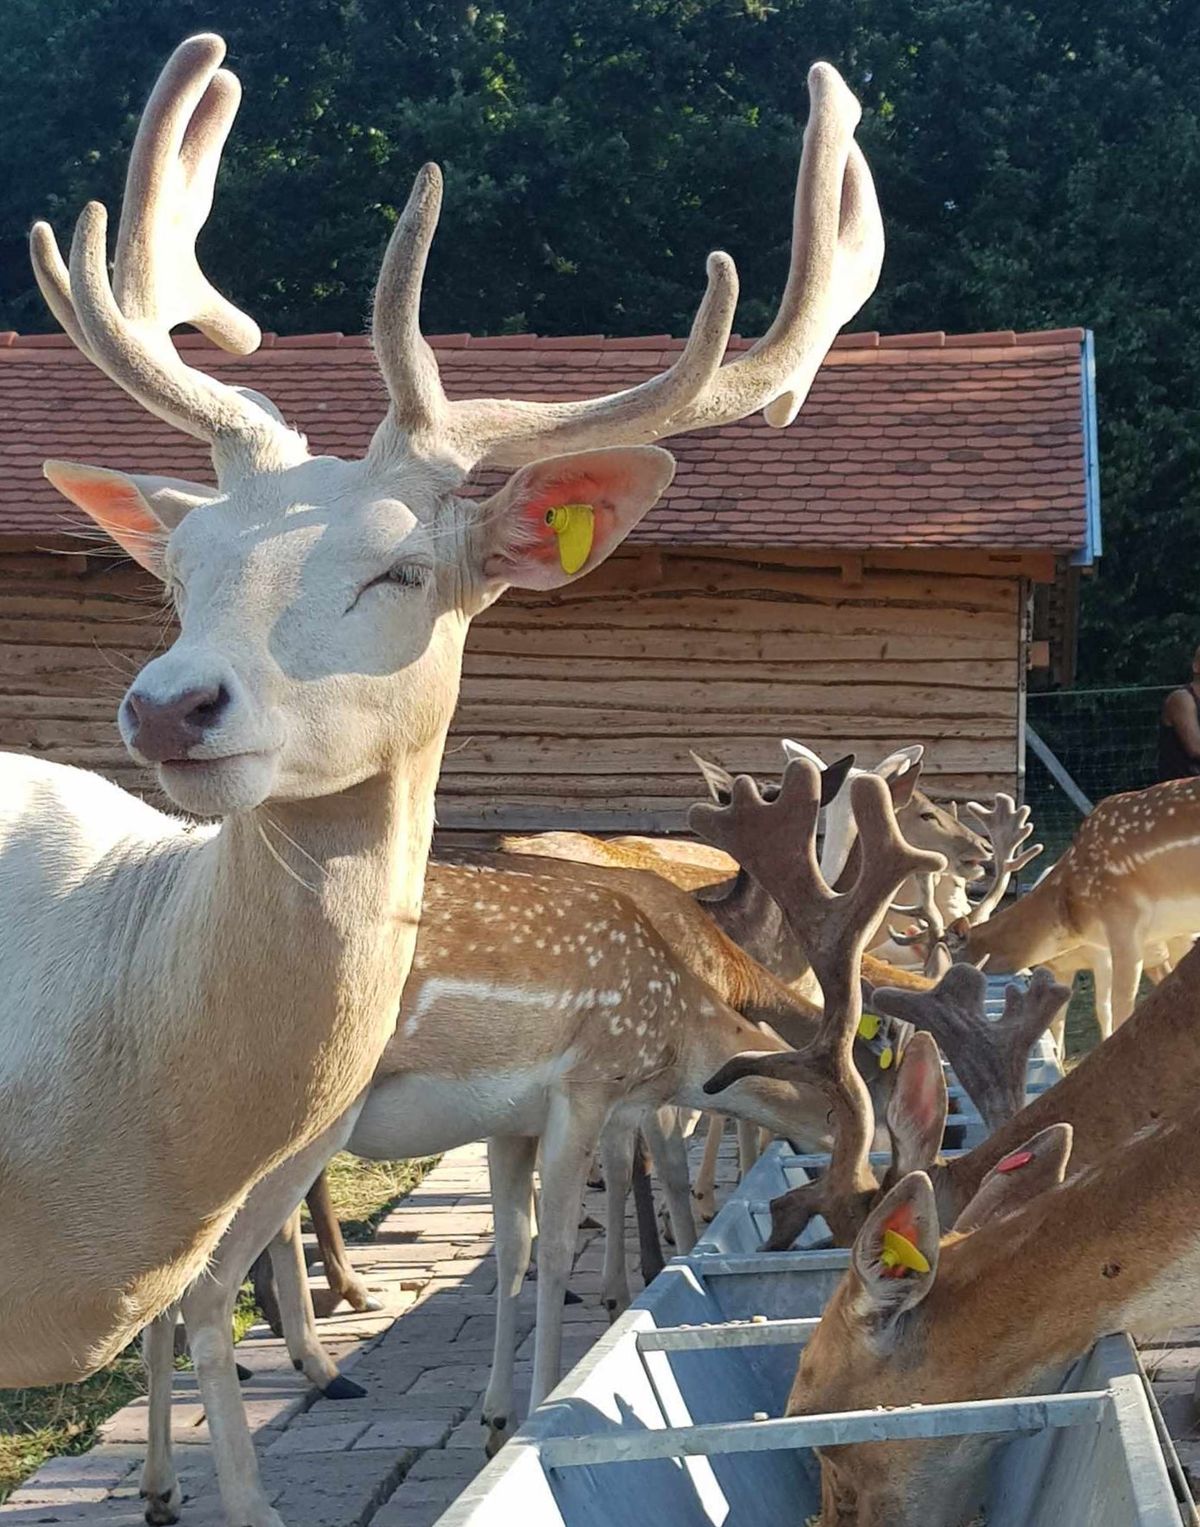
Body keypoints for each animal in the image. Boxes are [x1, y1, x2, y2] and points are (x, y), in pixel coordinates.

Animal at [4, 32, 885, 1398]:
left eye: (403, 571)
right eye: (179, 569)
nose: (171, 705)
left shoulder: (537, 1114)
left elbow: (529, 1243)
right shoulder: (583, 1091)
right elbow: (565, 1234)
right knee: (215, 1293)